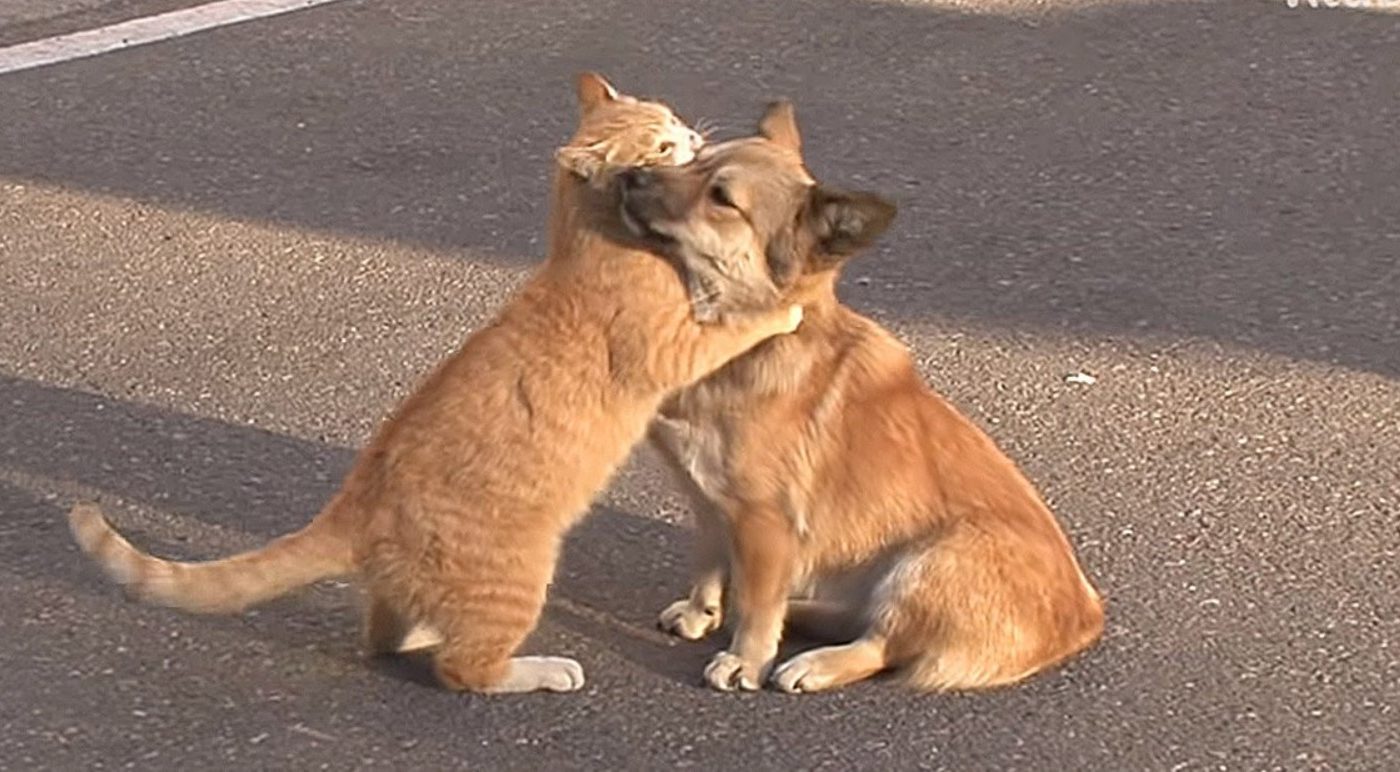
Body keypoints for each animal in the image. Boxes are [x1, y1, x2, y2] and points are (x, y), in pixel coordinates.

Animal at [65, 77, 806, 694]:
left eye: (673, 122)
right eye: (661, 146)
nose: (695, 139)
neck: (587, 237)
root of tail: (354, 505)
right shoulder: (676, 347)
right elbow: (738, 323)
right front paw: (783, 308)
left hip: (410, 594)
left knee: (384, 638)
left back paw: (419, 632)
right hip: (518, 579)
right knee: (464, 669)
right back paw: (540, 669)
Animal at [624, 102, 1103, 694]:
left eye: (721, 197)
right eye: (695, 158)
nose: (630, 175)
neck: (750, 341)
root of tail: (1085, 616)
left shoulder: (764, 523)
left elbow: (758, 606)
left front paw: (745, 659)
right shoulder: (710, 503)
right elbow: (709, 566)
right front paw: (701, 612)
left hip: (929, 561)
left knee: (882, 644)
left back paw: (814, 662)